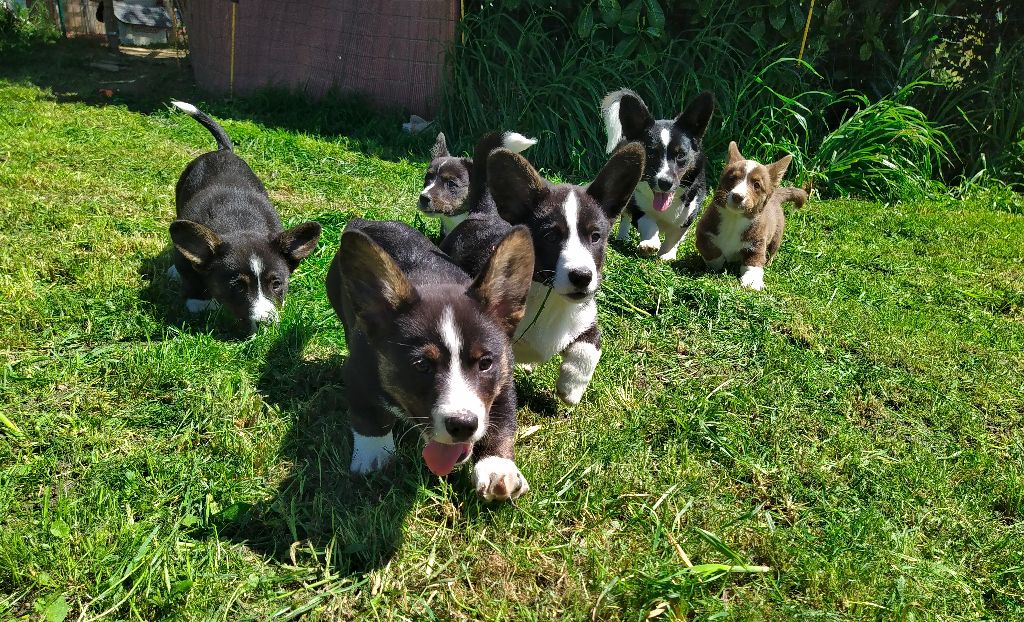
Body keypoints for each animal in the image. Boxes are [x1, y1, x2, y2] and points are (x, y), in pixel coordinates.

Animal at [165, 99, 321, 327]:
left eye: (276, 284)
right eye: (237, 286)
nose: (266, 323)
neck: (240, 225)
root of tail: (223, 150)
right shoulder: (186, 257)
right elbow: (192, 278)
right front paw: (199, 304)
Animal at [327, 219, 536, 502]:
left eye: (485, 363)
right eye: (421, 366)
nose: (463, 426)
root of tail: (365, 221)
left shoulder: (504, 378)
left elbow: (501, 420)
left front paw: (496, 468)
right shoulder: (357, 372)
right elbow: (369, 417)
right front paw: (374, 455)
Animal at [444, 141, 643, 405]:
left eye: (595, 236)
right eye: (550, 236)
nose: (582, 276)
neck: (550, 298)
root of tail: (482, 213)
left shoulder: (586, 319)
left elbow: (590, 348)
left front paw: (571, 388)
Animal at [598, 89, 712, 260]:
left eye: (681, 155)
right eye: (651, 154)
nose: (665, 183)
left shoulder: (690, 213)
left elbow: (675, 236)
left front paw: (667, 255)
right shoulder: (637, 206)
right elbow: (648, 222)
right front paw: (650, 244)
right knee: (625, 216)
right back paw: (622, 237)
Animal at [696, 142, 806, 291]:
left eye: (757, 185)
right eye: (732, 178)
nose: (737, 196)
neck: (734, 219)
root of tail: (776, 195)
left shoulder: (757, 243)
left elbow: (754, 263)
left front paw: (752, 282)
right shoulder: (703, 231)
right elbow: (710, 251)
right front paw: (718, 264)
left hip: (776, 235)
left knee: (772, 251)